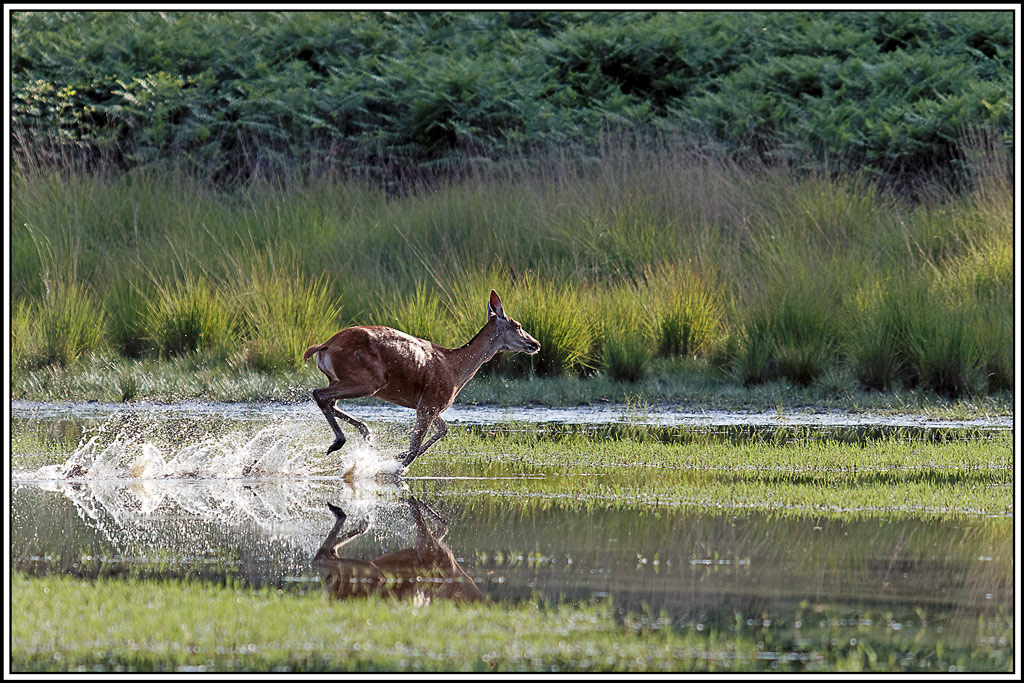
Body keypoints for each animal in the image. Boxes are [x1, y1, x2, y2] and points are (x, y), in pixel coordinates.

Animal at [302, 290, 540, 475]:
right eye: (517, 325)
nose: (535, 344)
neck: (456, 370)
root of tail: (324, 346)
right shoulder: (430, 403)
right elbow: (417, 446)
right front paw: (395, 470)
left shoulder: (429, 405)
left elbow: (443, 429)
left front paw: (397, 456)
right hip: (366, 381)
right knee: (319, 394)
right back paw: (339, 443)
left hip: (340, 379)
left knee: (331, 401)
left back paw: (365, 436)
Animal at [313, 497, 484, 603]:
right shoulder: (427, 547)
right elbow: (438, 521)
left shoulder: (427, 546)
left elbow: (440, 523)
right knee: (326, 554)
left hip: (369, 573)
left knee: (326, 555)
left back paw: (347, 515)